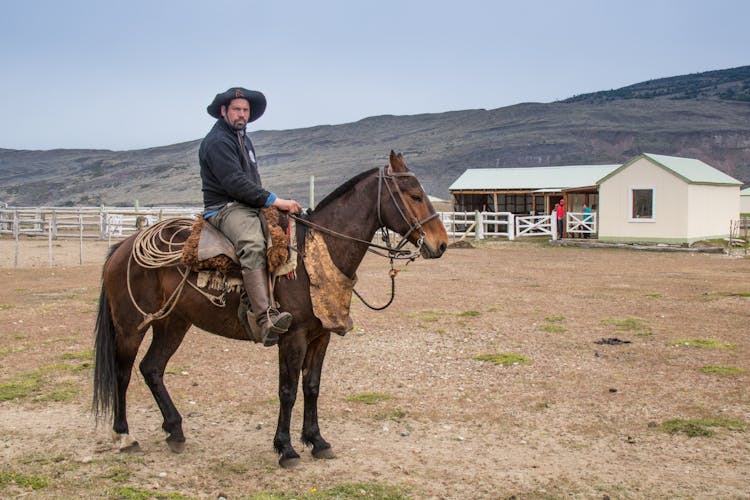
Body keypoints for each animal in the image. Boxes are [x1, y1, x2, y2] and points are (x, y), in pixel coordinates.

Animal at [92, 150, 450, 466]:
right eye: (415, 195)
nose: (441, 244)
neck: (314, 255)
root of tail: (122, 246)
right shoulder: (292, 337)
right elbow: (288, 390)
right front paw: (286, 448)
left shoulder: (321, 336)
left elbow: (312, 386)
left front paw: (317, 441)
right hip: (131, 325)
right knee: (124, 372)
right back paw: (124, 435)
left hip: (172, 323)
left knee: (152, 368)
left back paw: (175, 431)